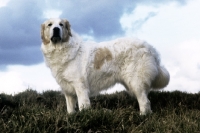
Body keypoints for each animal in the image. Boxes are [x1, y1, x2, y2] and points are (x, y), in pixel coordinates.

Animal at [40, 18, 170, 115]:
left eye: (61, 24)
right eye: (50, 25)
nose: (56, 29)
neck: (60, 48)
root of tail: (150, 48)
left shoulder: (80, 86)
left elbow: (83, 105)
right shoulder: (67, 89)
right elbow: (70, 109)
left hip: (136, 82)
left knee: (145, 102)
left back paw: (142, 116)